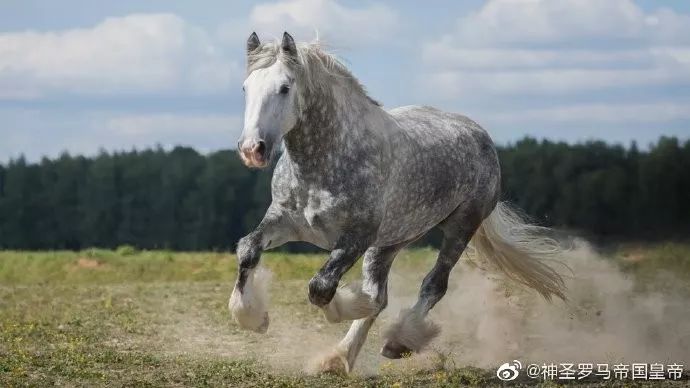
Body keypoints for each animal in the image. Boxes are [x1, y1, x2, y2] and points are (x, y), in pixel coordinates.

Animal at [228, 31, 560, 372]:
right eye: (246, 88)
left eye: (284, 87)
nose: (252, 149)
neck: (326, 161)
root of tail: (480, 135)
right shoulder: (285, 221)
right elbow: (248, 249)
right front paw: (253, 318)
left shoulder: (356, 238)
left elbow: (321, 287)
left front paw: (350, 303)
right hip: (391, 242)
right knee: (381, 293)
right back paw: (337, 358)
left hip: (460, 227)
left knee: (433, 285)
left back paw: (398, 342)